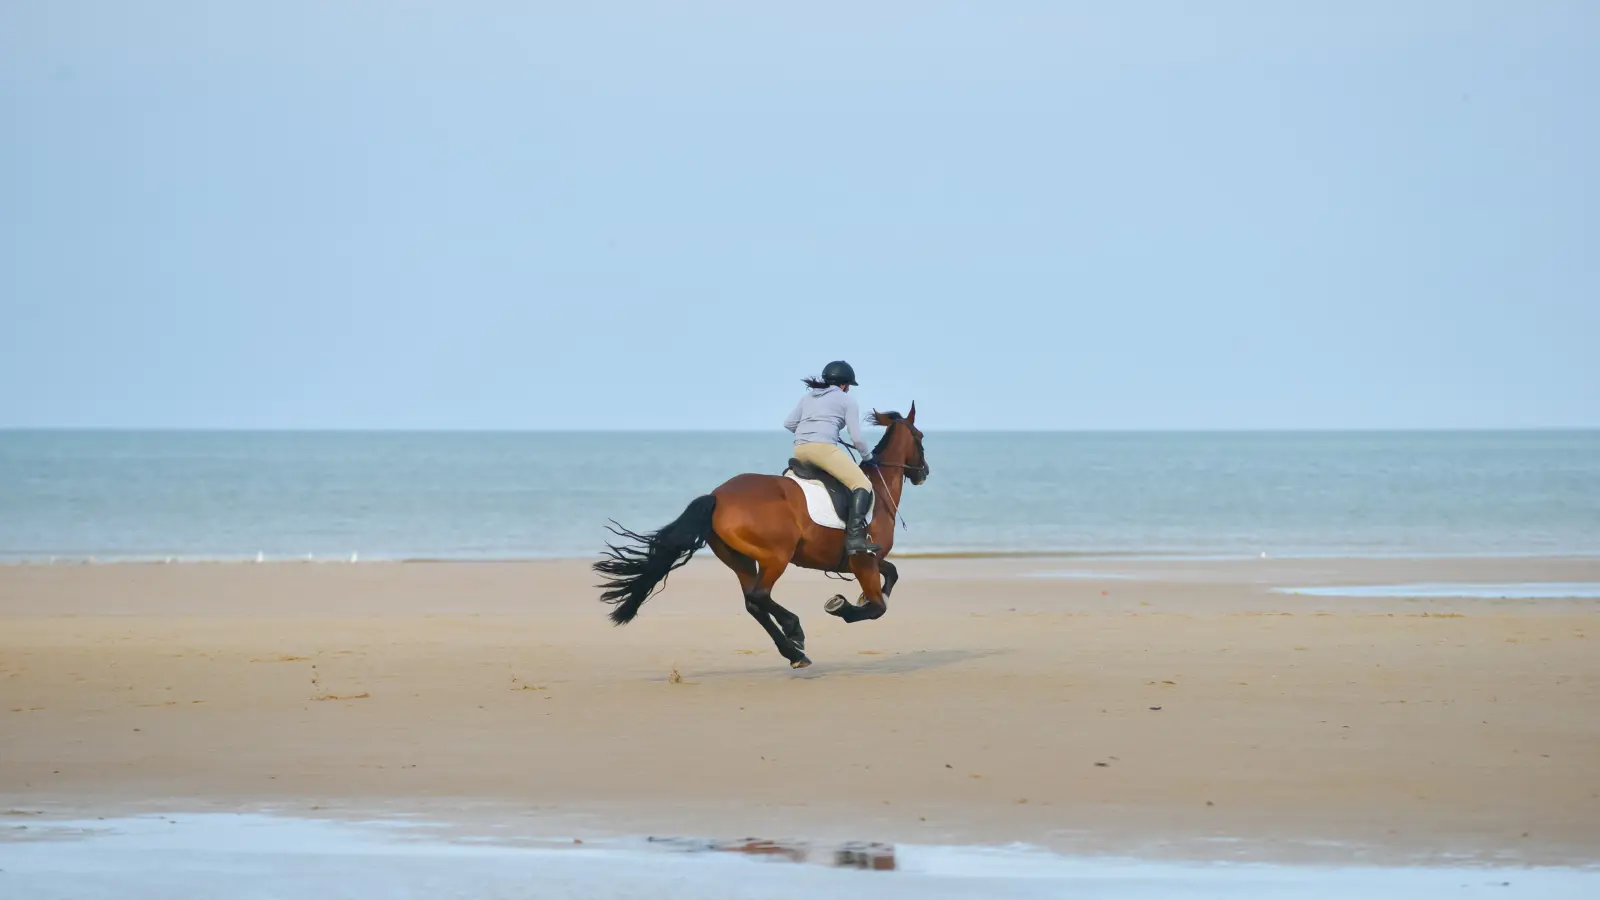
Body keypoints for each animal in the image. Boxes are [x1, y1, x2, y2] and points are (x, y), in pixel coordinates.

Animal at [595, 406, 934, 666]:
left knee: (753, 603)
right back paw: (794, 631)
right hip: (776, 557)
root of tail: (717, 496)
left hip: (742, 560)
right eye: (920, 438)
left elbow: (892, 574)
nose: (924, 472)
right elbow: (877, 608)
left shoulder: (864, 560)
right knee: (759, 596)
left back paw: (794, 653)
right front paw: (843, 606)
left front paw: (862, 597)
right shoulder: (863, 560)